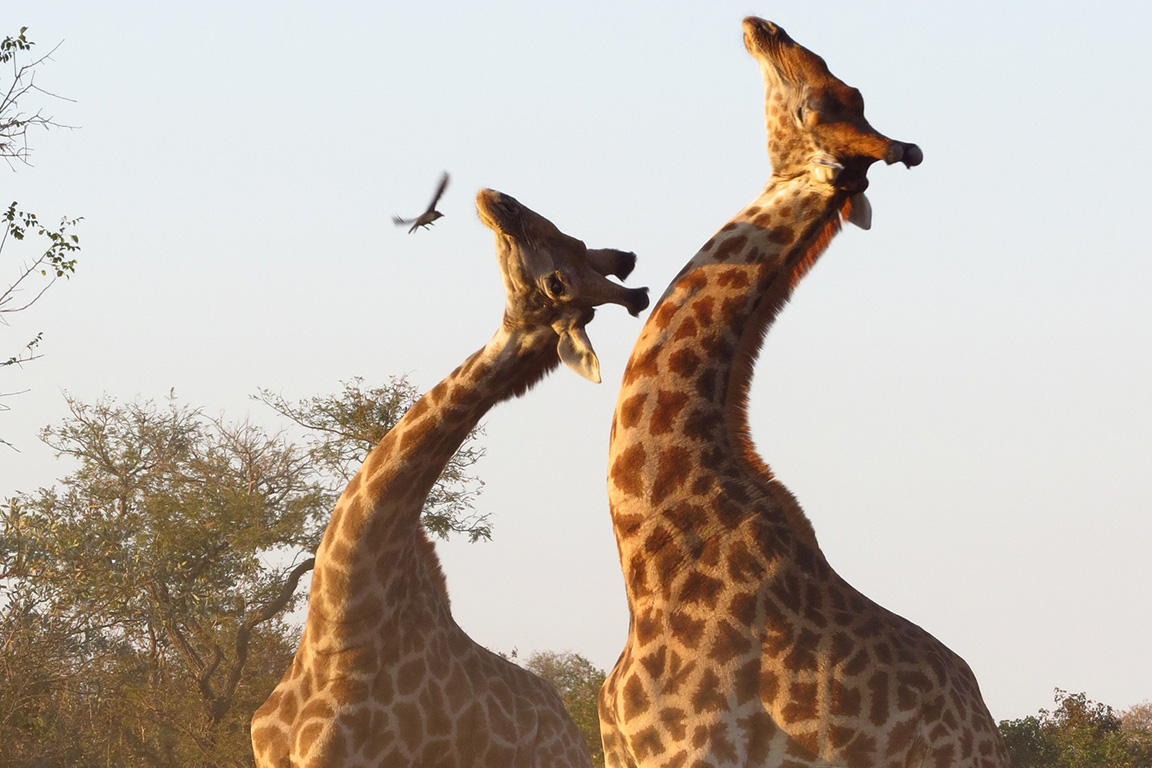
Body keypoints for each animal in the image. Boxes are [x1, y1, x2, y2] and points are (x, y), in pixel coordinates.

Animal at [598, 17, 1008, 768]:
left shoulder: (691, 750)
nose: (763, 26)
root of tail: (986, 731)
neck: (647, 558)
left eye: (818, 104)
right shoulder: (618, 751)